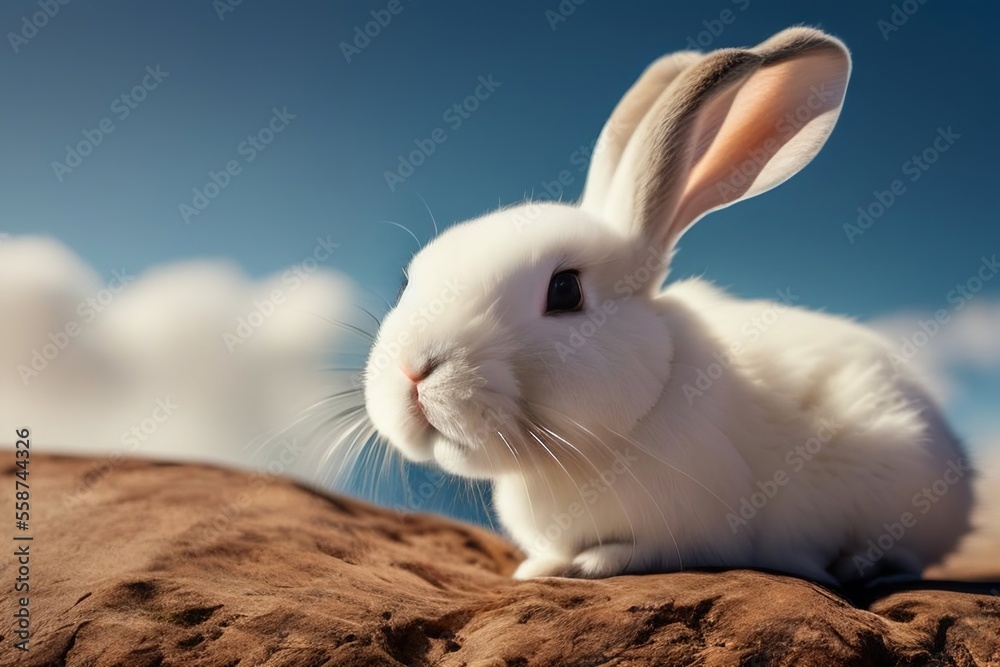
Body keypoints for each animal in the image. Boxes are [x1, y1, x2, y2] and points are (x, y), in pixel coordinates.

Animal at [361, 26, 975, 585]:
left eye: (565, 291)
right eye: (408, 281)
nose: (413, 372)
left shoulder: (697, 528)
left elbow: (642, 553)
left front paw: (588, 564)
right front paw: (540, 567)